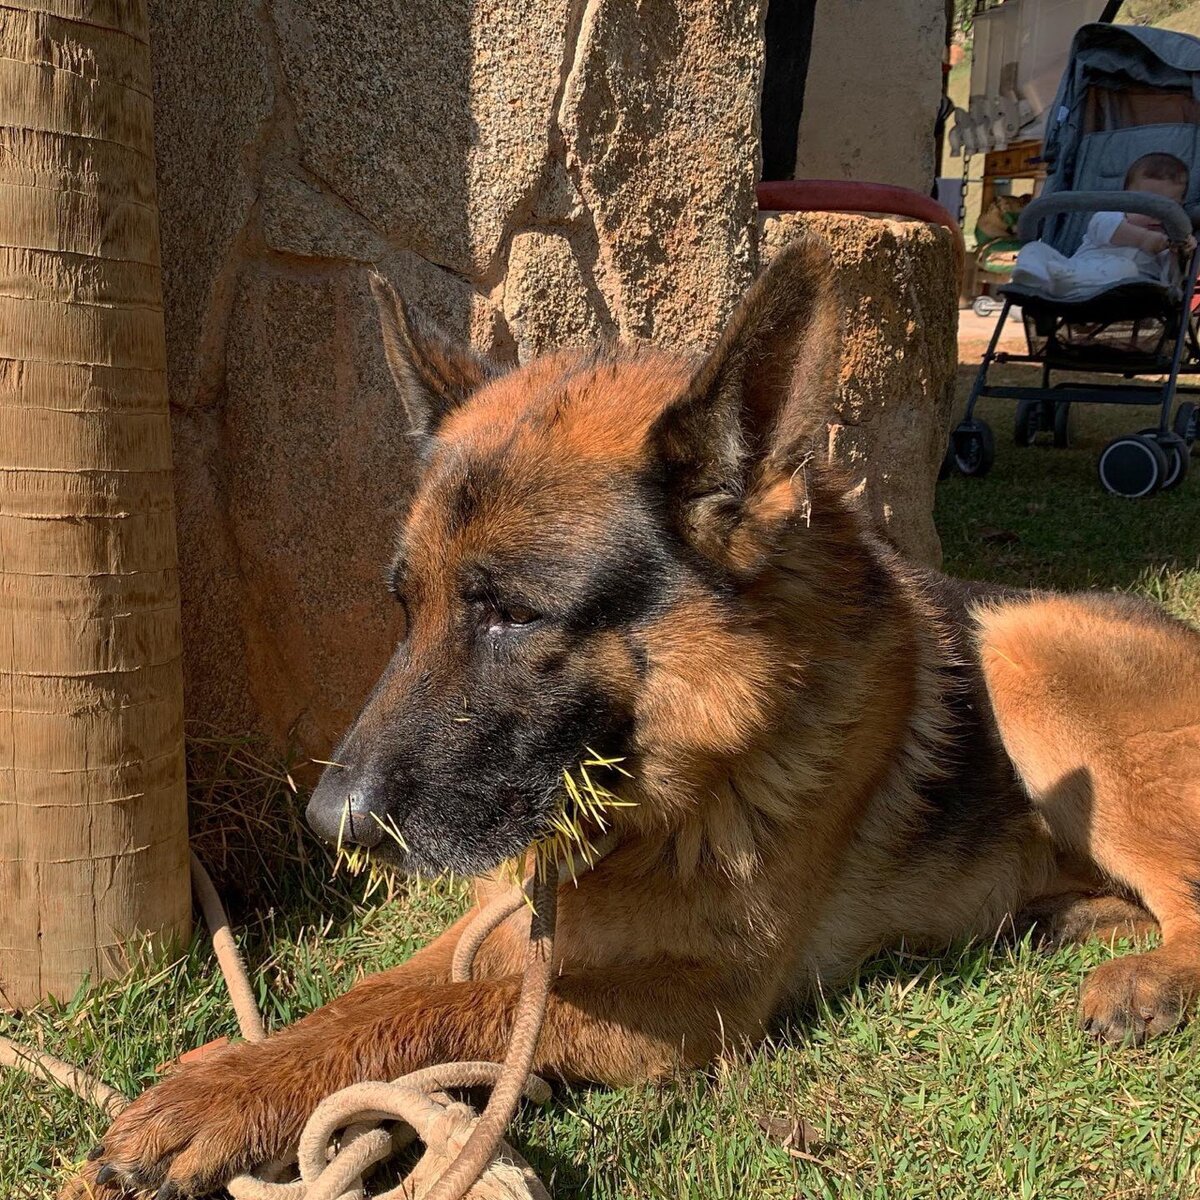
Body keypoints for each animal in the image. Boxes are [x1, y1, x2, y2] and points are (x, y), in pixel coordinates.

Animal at [82, 238, 1200, 1195]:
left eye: (514, 613)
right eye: (410, 607)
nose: (328, 825)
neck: (689, 775)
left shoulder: (698, 1001)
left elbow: (461, 1006)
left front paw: (225, 1100)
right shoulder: (500, 916)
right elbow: (381, 995)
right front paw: (237, 1074)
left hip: (1021, 644)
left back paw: (1146, 979)